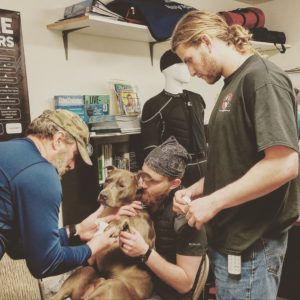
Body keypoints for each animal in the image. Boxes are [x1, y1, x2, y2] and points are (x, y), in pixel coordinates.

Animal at [51, 166, 155, 300]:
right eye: (107, 180)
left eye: (121, 185)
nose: (103, 195)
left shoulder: (144, 239)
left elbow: (127, 219)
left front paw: (116, 225)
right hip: (87, 271)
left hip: (113, 284)